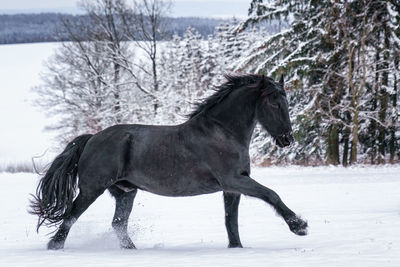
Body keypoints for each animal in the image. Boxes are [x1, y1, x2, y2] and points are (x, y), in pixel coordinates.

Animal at [30, 74, 306, 251]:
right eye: (273, 102)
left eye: (286, 101)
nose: (287, 139)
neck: (222, 132)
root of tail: (91, 139)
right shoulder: (234, 180)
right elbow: (271, 194)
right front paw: (299, 226)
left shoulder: (231, 188)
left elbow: (231, 221)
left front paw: (237, 248)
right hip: (92, 189)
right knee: (70, 217)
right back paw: (55, 247)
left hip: (125, 192)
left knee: (118, 224)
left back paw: (132, 250)